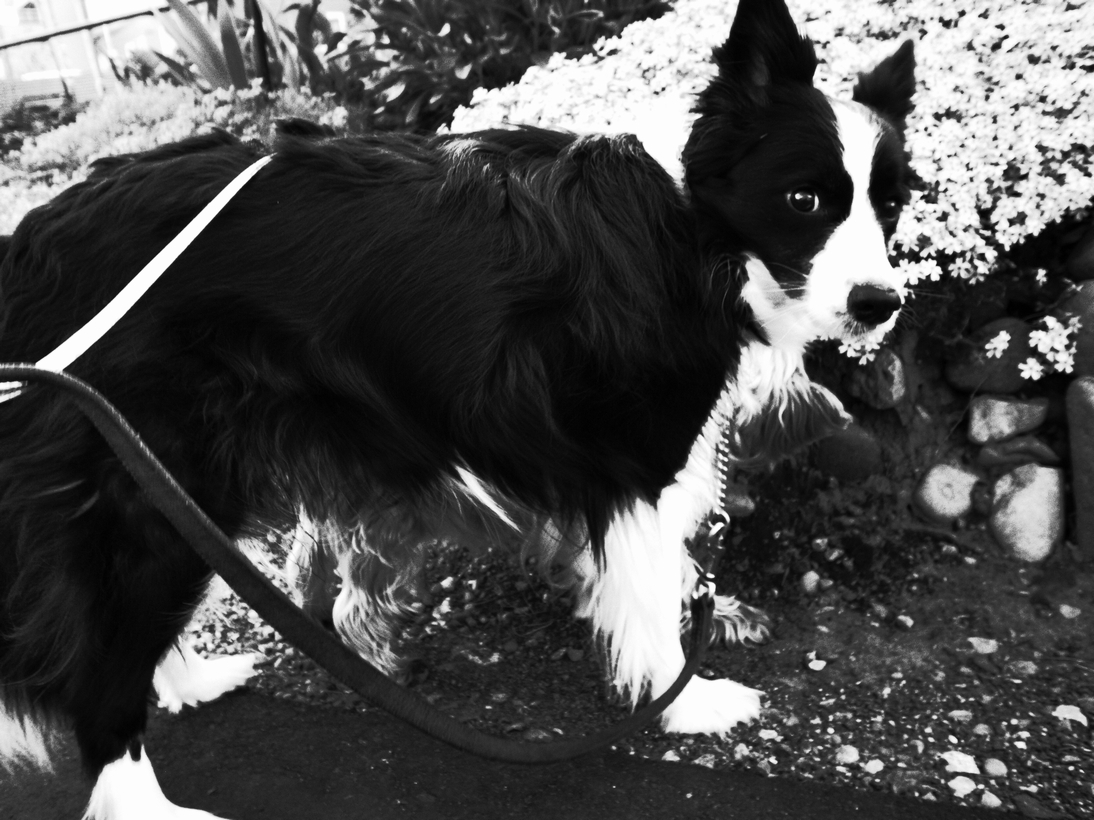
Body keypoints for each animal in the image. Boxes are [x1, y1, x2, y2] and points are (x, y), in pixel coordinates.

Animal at [0, 0, 915, 816]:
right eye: (804, 200)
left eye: (893, 203)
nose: (881, 305)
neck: (690, 220)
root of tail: (31, 239)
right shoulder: (638, 465)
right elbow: (655, 595)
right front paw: (686, 703)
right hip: (141, 477)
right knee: (100, 674)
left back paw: (192, 681)